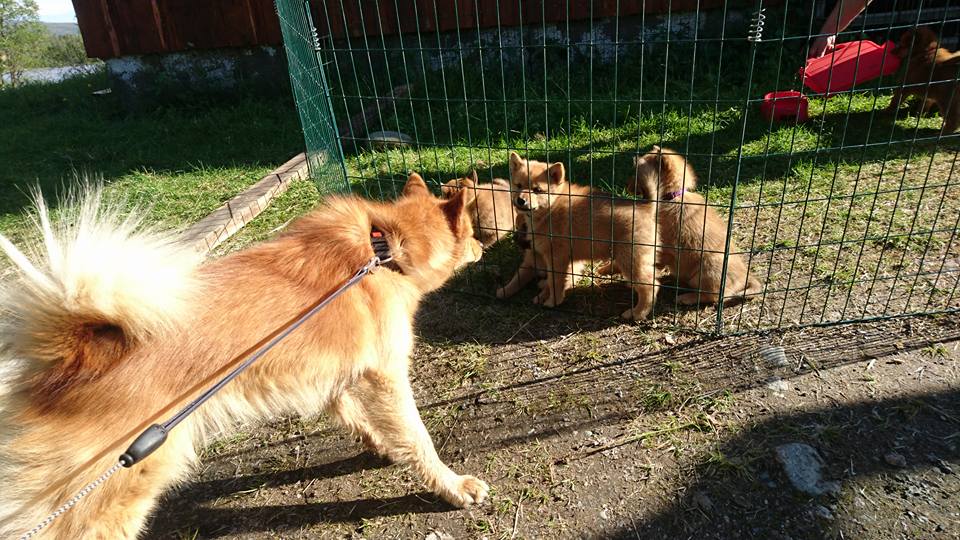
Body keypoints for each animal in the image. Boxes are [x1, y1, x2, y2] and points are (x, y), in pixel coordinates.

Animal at [0, 175, 488, 539]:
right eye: (473, 232)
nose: (483, 248)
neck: (384, 250)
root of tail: (72, 354)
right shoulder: (386, 376)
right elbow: (418, 438)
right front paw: (452, 486)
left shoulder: (337, 375)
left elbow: (356, 417)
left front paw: (380, 446)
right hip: (118, 489)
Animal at [505, 152, 658, 320]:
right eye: (519, 185)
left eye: (537, 190)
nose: (520, 200)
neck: (551, 208)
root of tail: (645, 206)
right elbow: (553, 280)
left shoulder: (556, 258)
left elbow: (555, 282)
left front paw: (553, 301)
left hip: (629, 259)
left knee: (650, 286)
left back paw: (637, 312)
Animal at [629, 146, 763, 305]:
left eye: (638, 175)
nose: (627, 188)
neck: (673, 197)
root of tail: (746, 276)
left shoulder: (662, 245)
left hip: (705, 271)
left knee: (714, 296)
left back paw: (686, 297)